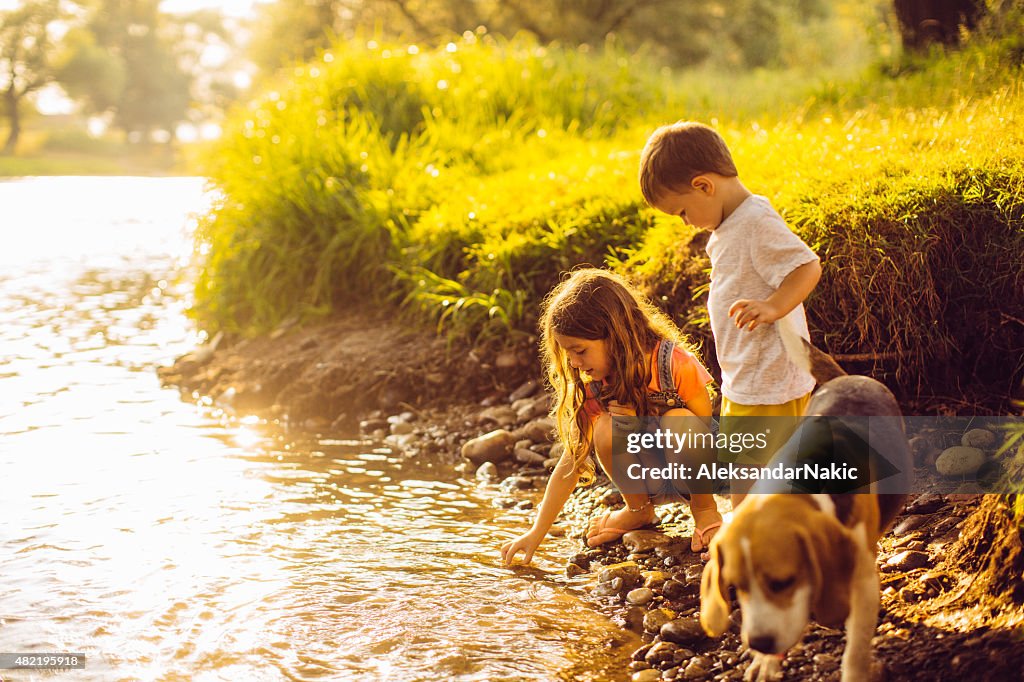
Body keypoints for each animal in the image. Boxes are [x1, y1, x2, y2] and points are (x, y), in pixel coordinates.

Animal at [696, 327, 913, 675]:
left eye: (783, 582)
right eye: (736, 587)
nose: (759, 644)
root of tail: (848, 377)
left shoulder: (863, 583)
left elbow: (856, 649)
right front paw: (765, 663)